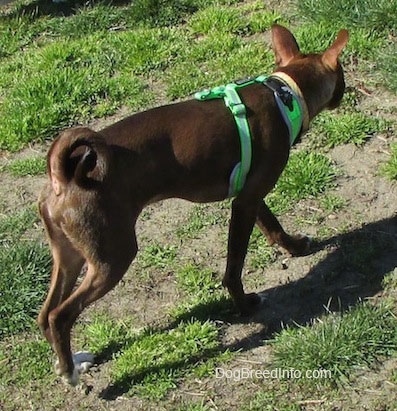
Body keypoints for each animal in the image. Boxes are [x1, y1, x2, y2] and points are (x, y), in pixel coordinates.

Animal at [36, 25, 346, 386]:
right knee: (61, 314)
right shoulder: (245, 203)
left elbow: (272, 226)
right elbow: (234, 268)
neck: (284, 95)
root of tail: (64, 177)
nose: (346, 90)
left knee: (45, 313)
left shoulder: (249, 195)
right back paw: (70, 372)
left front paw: (295, 247)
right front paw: (246, 304)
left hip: (70, 254)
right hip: (112, 257)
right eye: (342, 73)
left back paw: (70, 360)